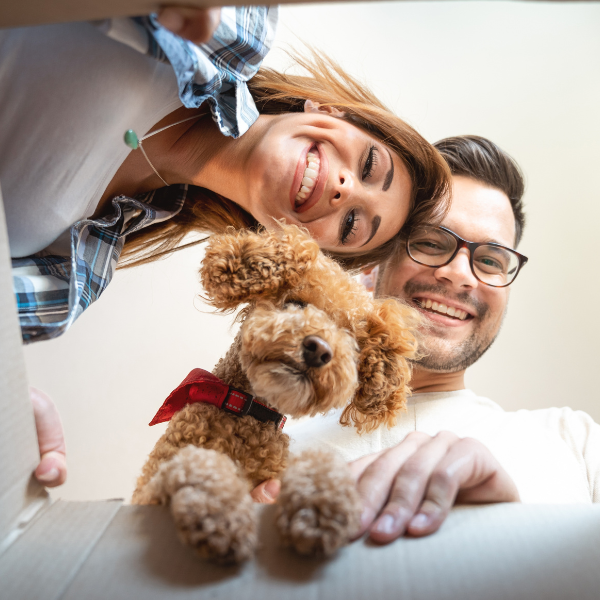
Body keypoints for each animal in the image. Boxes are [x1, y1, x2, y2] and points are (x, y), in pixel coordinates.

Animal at [134, 224, 420, 564]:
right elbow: (195, 467)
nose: (318, 350)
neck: (246, 414)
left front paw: (320, 506)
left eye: (352, 340)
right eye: (295, 303)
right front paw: (220, 514)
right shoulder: (148, 491)